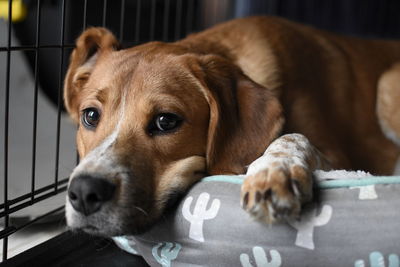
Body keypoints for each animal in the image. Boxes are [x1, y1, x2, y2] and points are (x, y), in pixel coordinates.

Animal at [62, 16, 400, 237]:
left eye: (165, 121)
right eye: (90, 116)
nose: (84, 192)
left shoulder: (342, 157)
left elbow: (292, 136)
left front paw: (273, 171)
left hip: (388, 86)